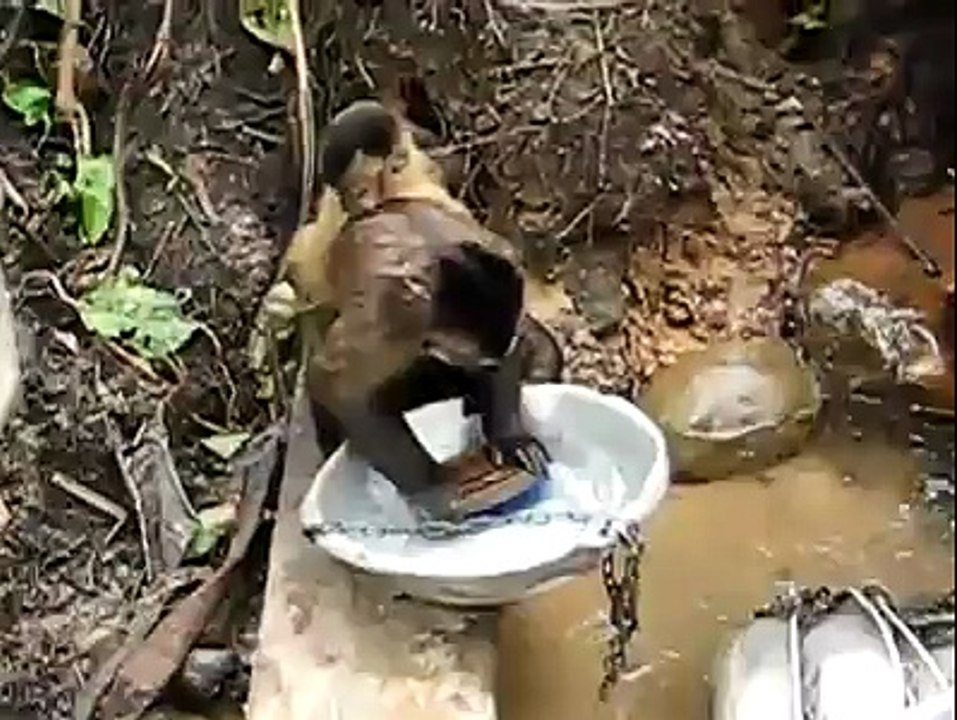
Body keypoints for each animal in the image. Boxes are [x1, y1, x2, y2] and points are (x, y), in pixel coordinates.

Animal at [286, 99, 563, 518]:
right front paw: (430, 487)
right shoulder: (399, 314)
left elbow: (512, 349)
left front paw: (509, 437)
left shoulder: (504, 258)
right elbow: (336, 385)